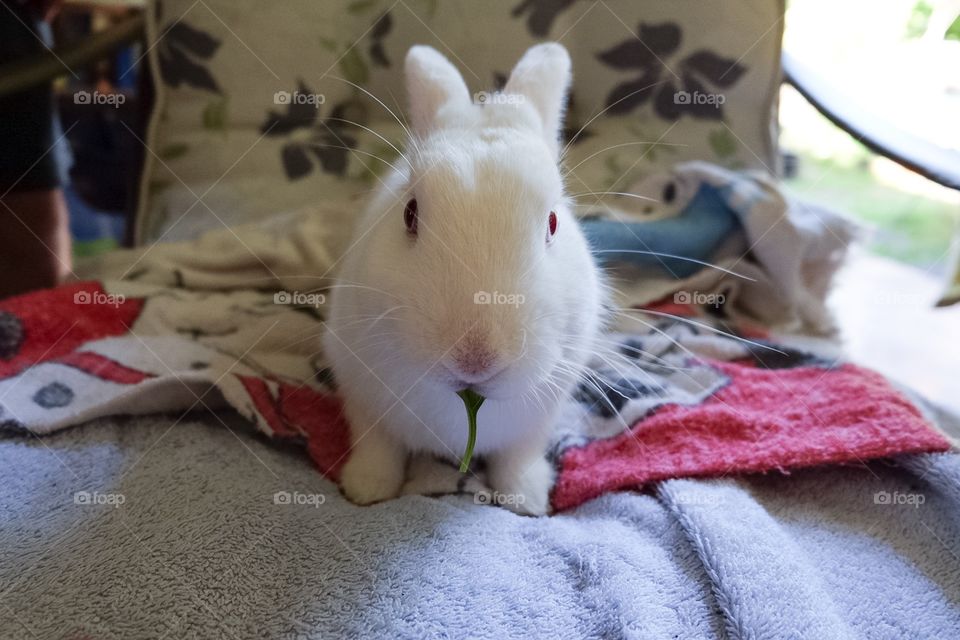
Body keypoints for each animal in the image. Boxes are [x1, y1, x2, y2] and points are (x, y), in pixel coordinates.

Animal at [322, 43, 606, 516]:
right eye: (410, 214)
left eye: (552, 222)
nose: (475, 358)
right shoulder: (360, 393)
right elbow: (377, 446)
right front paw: (366, 490)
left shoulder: (539, 418)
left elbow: (517, 458)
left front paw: (527, 499)